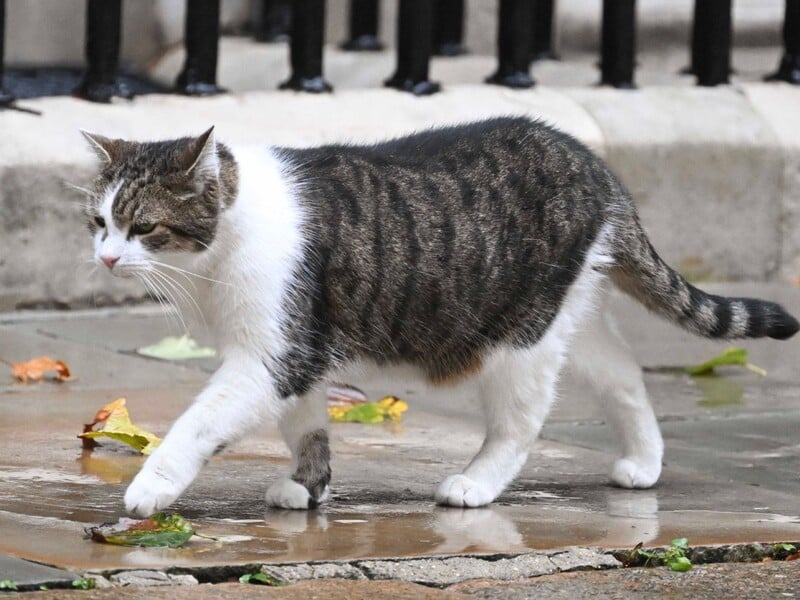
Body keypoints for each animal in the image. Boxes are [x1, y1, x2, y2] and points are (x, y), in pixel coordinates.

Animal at [78, 118, 796, 516]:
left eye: (144, 227)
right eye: (99, 222)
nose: (107, 258)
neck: (225, 241)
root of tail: (596, 167)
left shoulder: (275, 352)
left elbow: (198, 423)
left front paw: (152, 487)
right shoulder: (299, 351)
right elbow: (305, 427)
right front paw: (309, 488)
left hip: (520, 339)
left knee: (522, 422)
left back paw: (476, 483)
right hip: (569, 313)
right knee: (623, 374)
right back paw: (643, 462)